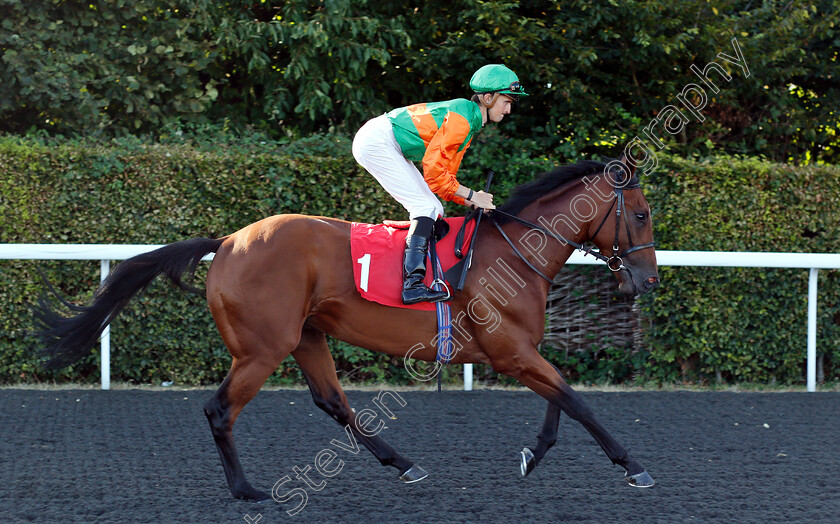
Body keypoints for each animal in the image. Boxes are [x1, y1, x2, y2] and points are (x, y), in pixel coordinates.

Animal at [32, 158, 660, 502]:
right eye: (642, 213)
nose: (648, 279)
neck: (513, 252)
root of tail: (229, 241)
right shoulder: (509, 350)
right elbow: (577, 400)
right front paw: (634, 467)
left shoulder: (520, 349)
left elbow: (561, 397)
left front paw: (535, 452)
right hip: (263, 349)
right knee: (220, 411)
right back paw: (246, 490)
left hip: (307, 336)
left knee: (334, 403)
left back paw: (403, 464)